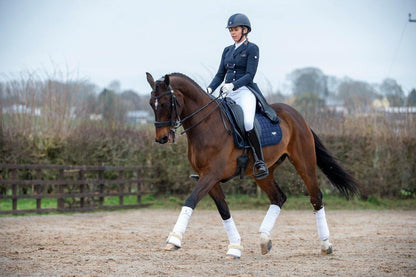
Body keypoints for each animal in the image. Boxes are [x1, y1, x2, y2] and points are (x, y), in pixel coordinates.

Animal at [145, 72, 358, 258]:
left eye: (165, 103)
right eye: (151, 104)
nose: (161, 138)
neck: (206, 125)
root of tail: (297, 115)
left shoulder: (211, 175)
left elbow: (190, 201)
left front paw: (174, 240)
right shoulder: (209, 179)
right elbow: (224, 211)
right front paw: (235, 248)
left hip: (304, 163)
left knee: (316, 197)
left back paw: (326, 245)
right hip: (263, 173)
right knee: (278, 197)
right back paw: (264, 240)